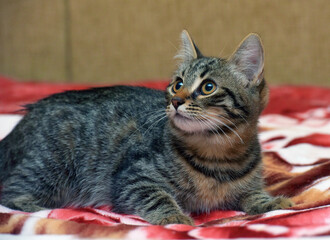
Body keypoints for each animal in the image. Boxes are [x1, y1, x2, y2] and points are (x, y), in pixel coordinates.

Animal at [0, 30, 294, 225]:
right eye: (177, 84)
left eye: (208, 87)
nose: (176, 100)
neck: (217, 155)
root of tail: (27, 117)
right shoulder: (133, 177)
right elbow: (158, 196)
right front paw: (174, 216)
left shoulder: (246, 186)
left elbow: (253, 194)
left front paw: (271, 201)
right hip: (50, 166)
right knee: (11, 192)